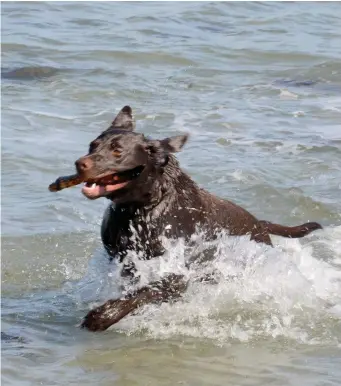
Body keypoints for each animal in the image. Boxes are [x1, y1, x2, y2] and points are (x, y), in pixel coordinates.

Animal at [61, 105, 322, 332]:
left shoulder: (178, 275)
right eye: (92, 145)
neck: (142, 207)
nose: (79, 163)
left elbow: (145, 292)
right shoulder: (124, 261)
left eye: (117, 151)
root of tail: (260, 224)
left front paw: (102, 316)